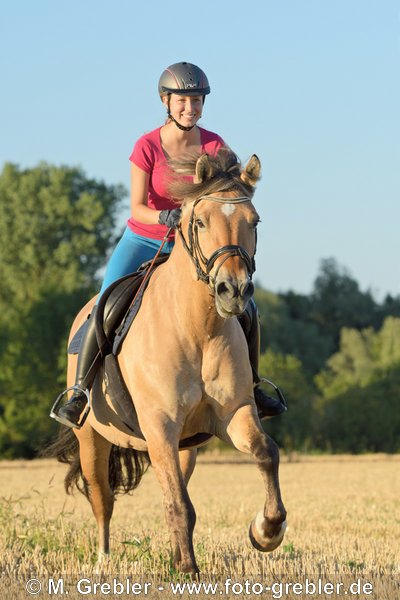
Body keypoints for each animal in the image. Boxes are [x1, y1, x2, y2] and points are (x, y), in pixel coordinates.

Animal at [50, 148, 288, 576]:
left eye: (254, 221)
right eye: (200, 221)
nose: (233, 291)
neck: (198, 329)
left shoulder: (233, 413)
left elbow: (266, 453)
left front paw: (265, 531)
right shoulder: (159, 425)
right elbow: (178, 504)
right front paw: (189, 571)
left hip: (185, 447)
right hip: (92, 438)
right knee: (103, 498)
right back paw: (103, 563)